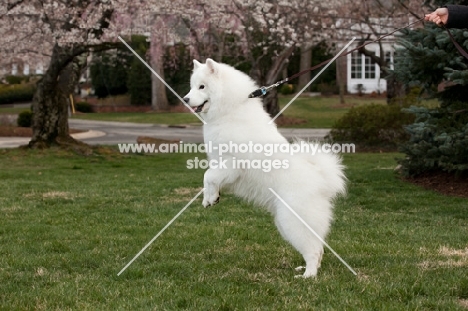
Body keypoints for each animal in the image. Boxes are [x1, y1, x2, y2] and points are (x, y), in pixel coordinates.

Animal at [185, 59, 346, 280]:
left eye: (202, 86)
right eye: (192, 86)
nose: (185, 99)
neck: (230, 110)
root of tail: (321, 179)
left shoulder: (231, 164)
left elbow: (208, 176)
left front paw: (210, 197)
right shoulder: (219, 163)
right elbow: (208, 179)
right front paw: (210, 198)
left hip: (291, 221)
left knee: (313, 249)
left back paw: (307, 276)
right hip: (285, 223)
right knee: (319, 247)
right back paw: (304, 269)